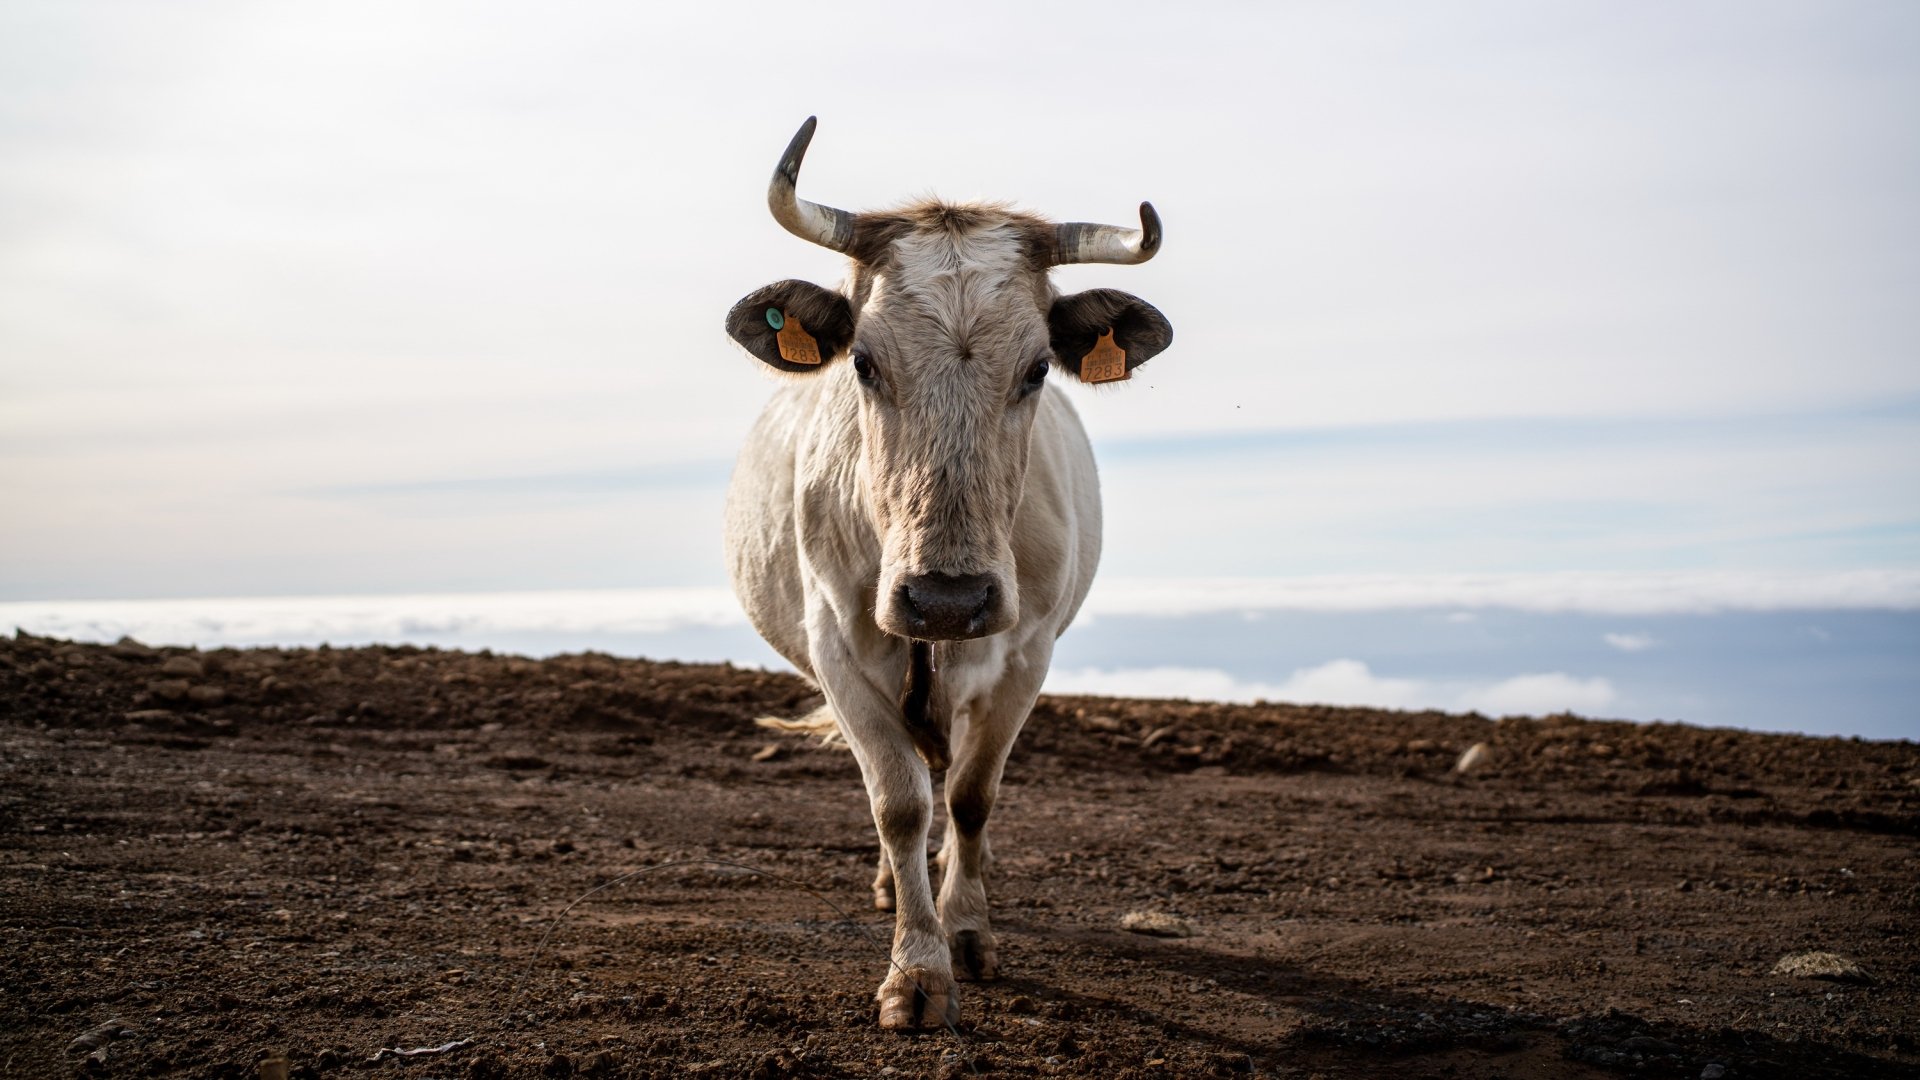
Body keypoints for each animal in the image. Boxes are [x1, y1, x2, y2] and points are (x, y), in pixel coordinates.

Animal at [723, 118, 1172, 1030]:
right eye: (862, 362)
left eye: (1037, 368)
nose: (945, 599)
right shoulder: (838, 650)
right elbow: (899, 801)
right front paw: (918, 969)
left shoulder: (1026, 654)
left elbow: (971, 795)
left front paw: (966, 933)